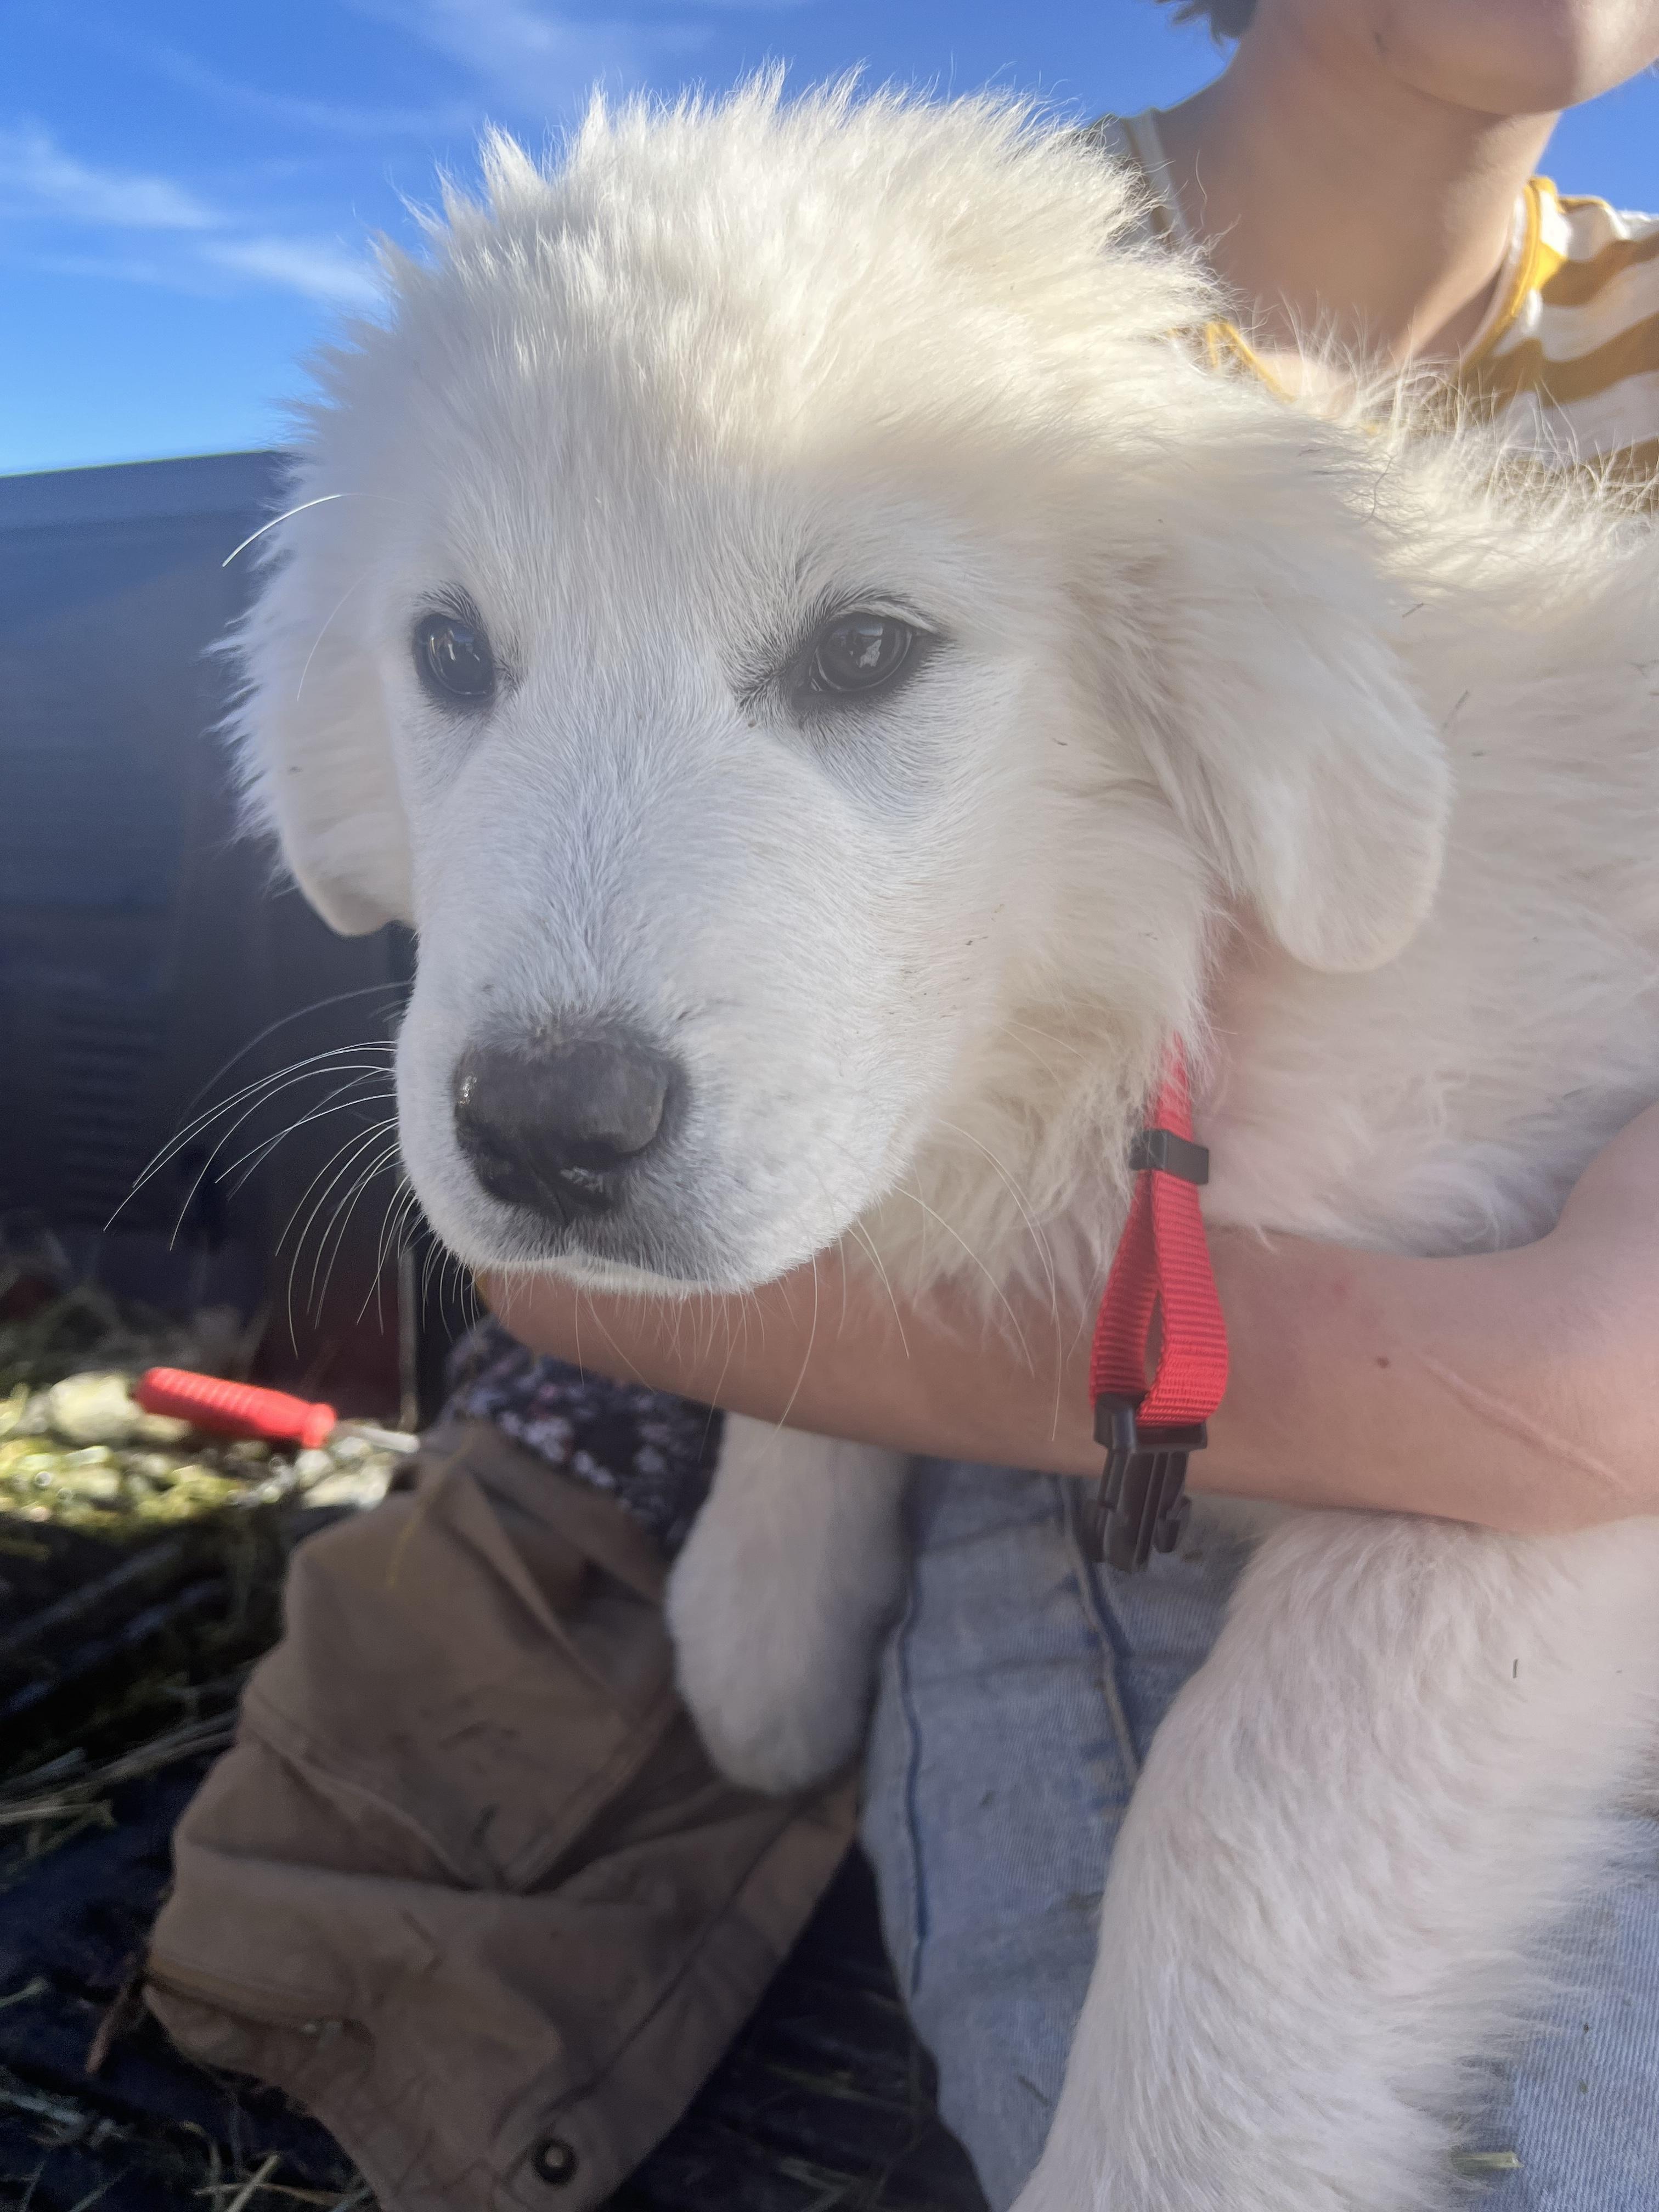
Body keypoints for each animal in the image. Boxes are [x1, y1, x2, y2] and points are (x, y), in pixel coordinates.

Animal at [233, 84, 1659, 2212]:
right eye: (452, 653)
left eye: (865, 651)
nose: (549, 1135)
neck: (1168, 995)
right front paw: (758, 1622)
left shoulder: (1536, 1443)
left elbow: (1253, 1808)